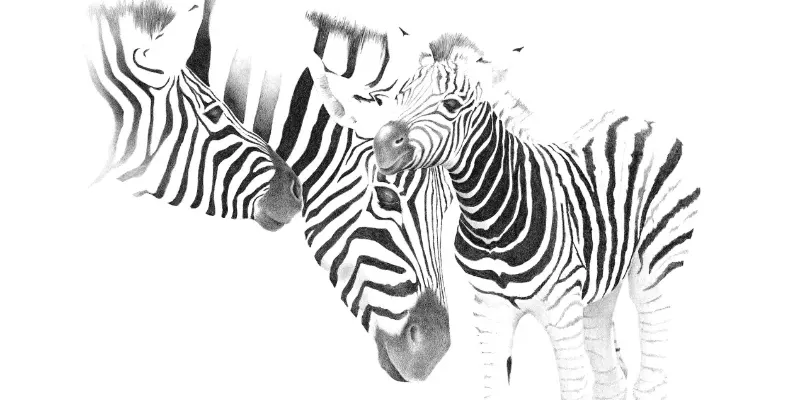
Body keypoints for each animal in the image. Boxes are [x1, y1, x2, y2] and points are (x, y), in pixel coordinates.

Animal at [371, 33, 701, 399]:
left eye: (452, 106)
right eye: (401, 96)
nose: (381, 145)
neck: (490, 219)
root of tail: (639, 119)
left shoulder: (562, 310)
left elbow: (573, 387)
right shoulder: (489, 311)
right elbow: (495, 389)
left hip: (657, 263)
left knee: (652, 369)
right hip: (604, 280)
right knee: (609, 374)